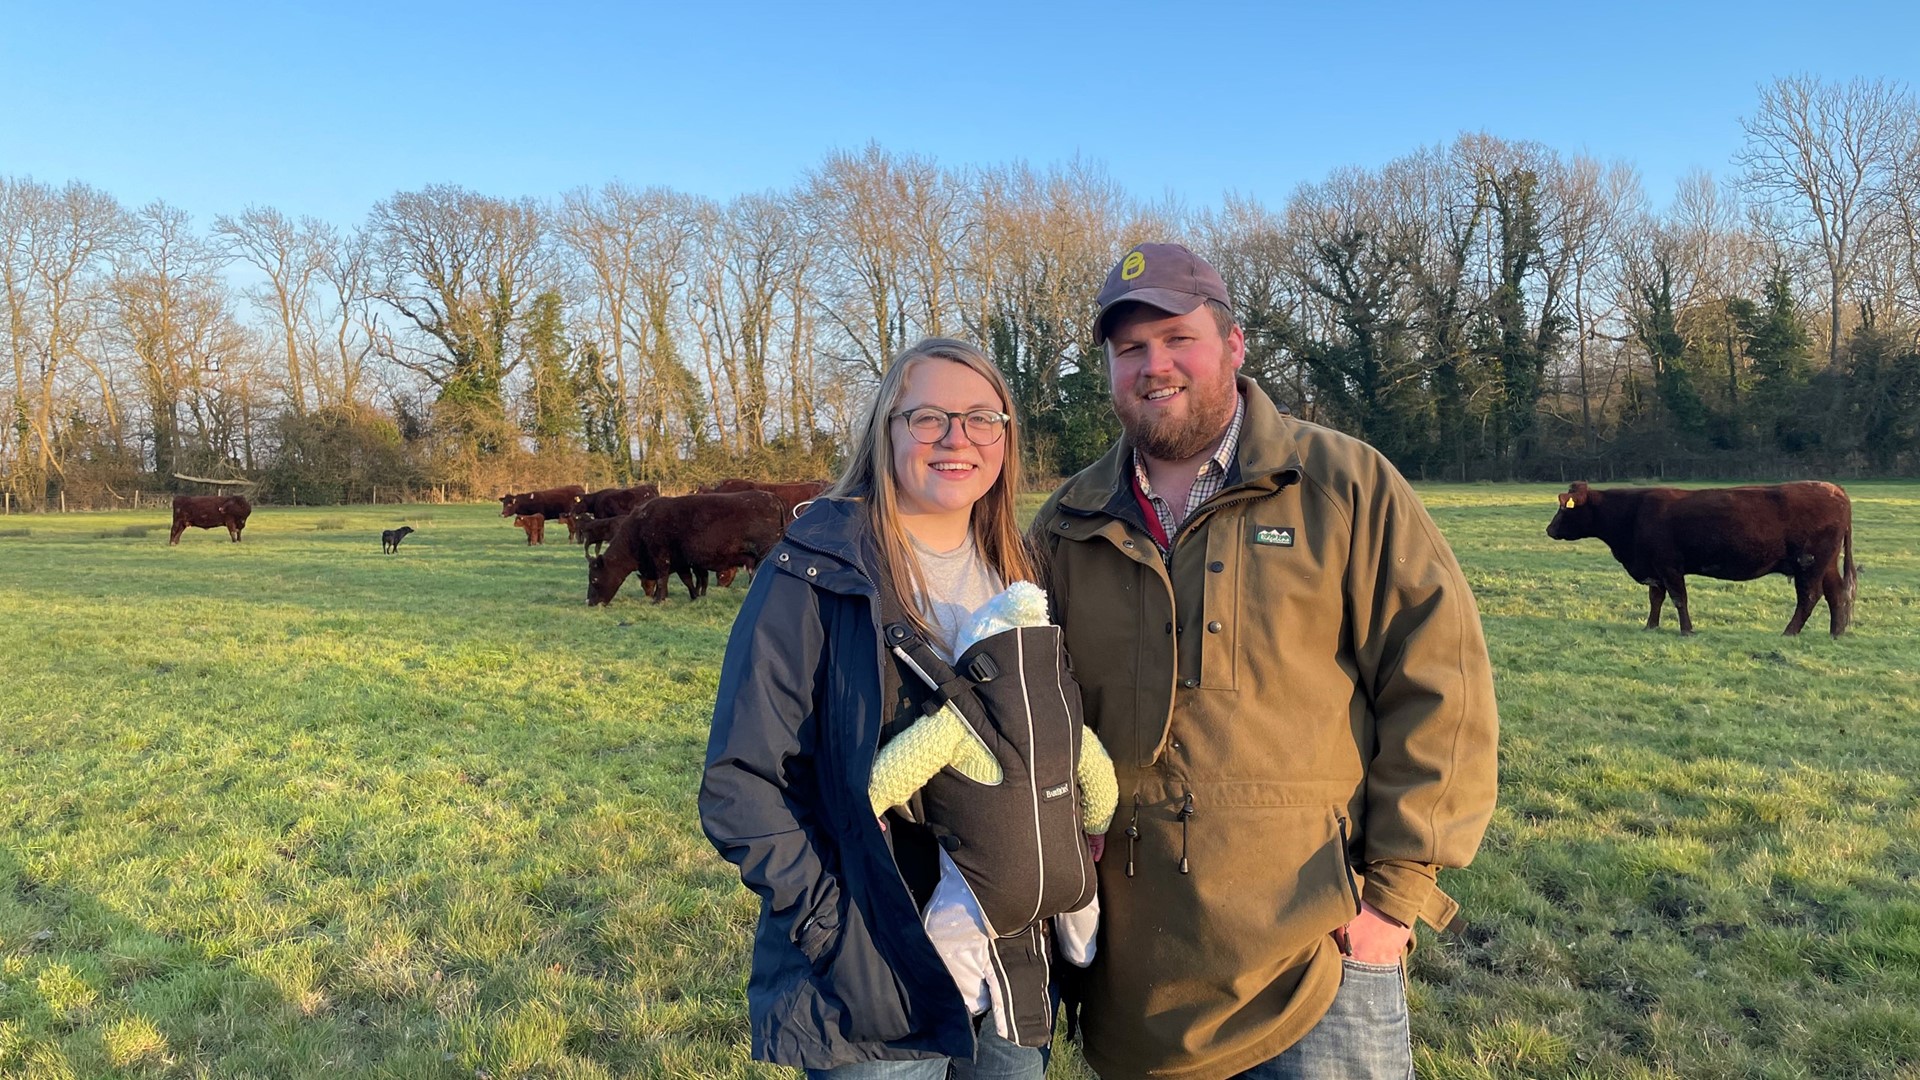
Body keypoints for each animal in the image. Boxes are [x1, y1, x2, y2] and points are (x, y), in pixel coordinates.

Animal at [591, 490, 787, 607]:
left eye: (593, 580)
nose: (589, 602)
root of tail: (772, 498)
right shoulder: (681, 562)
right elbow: (687, 580)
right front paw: (694, 597)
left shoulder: (661, 557)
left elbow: (663, 578)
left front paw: (658, 600)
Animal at [1543, 476, 1858, 634]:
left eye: (1563, 508)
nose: (1549, 529)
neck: (1633, 513)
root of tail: (1834, 489)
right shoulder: (1654, 569)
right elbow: (1656, 598)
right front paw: (1651, 626)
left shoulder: (1669, 565)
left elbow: (1679, 598)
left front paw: (1687, 630)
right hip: (1826, 563)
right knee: (1836, 594)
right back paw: (1835, 632)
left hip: (1810, 562)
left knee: (1809, 597)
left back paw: (1789, 632)